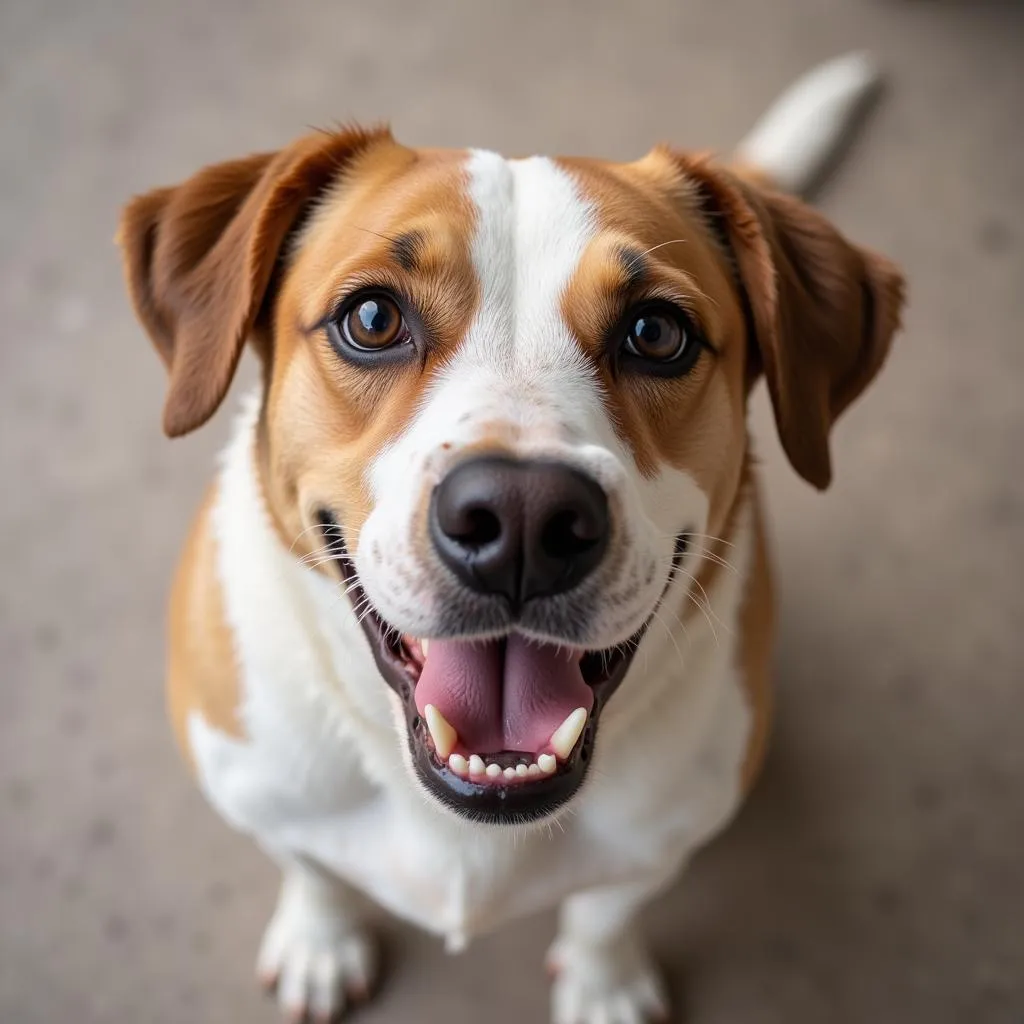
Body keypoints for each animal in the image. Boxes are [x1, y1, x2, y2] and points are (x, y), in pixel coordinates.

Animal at [117, 56, 905, 1024]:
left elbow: (606, 913)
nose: (524, 520)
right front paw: (320, 939)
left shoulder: (659, 838)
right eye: (372, 320)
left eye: (656, 332)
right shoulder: (260, 791)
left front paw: (603, 985)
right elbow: (310, 867)